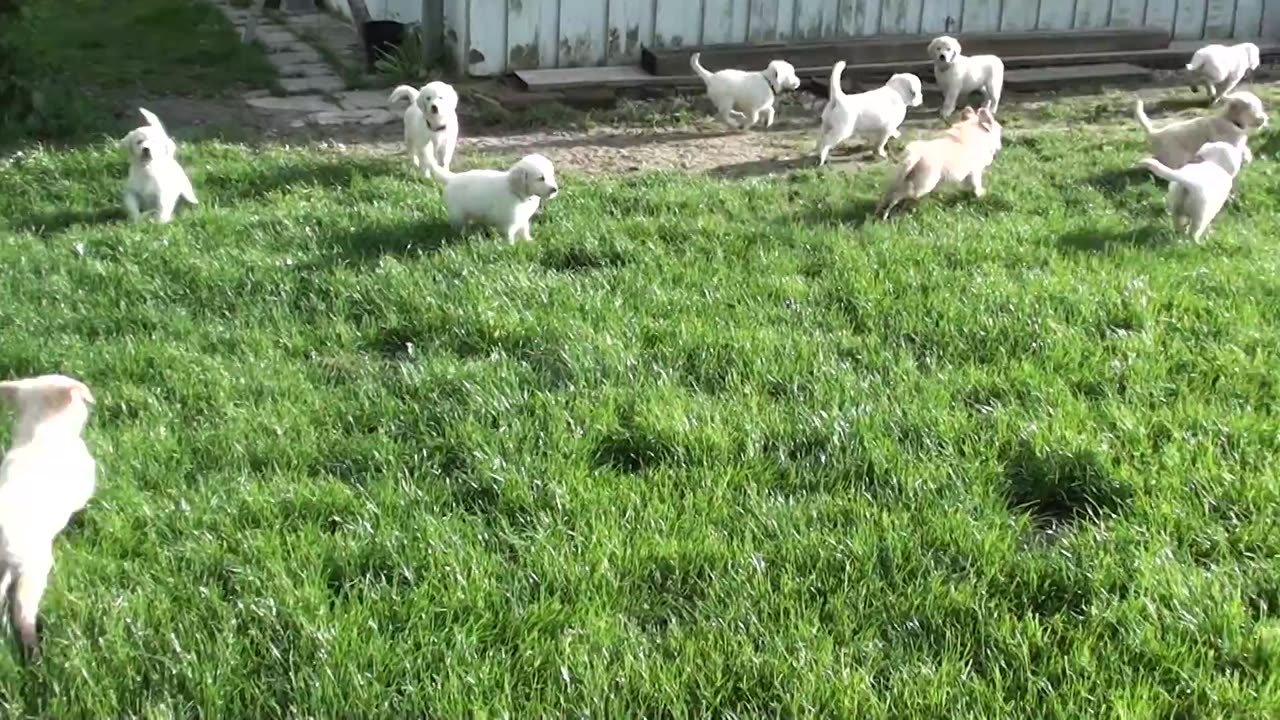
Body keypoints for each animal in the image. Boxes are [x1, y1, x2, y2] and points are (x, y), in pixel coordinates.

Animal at [422, 144, 558, 240]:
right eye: (541, 178)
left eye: (551, 175)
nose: (555, 189)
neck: (517, 191)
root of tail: (452, 178)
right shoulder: (508, 223)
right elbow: (509, 236)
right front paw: (510, 247)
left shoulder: (522, 218)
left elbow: (524, 230)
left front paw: (529, 241)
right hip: (457, 213)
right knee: (459, 226)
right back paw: (464, 234)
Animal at [1141, 90, 1269, 169]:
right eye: (1254, 109)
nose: (1264, 119)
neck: (1230, 121)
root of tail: (1155, 133)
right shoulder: (1229, 145)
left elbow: (1245, 150)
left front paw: (1247, 158)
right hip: (1176, 155)